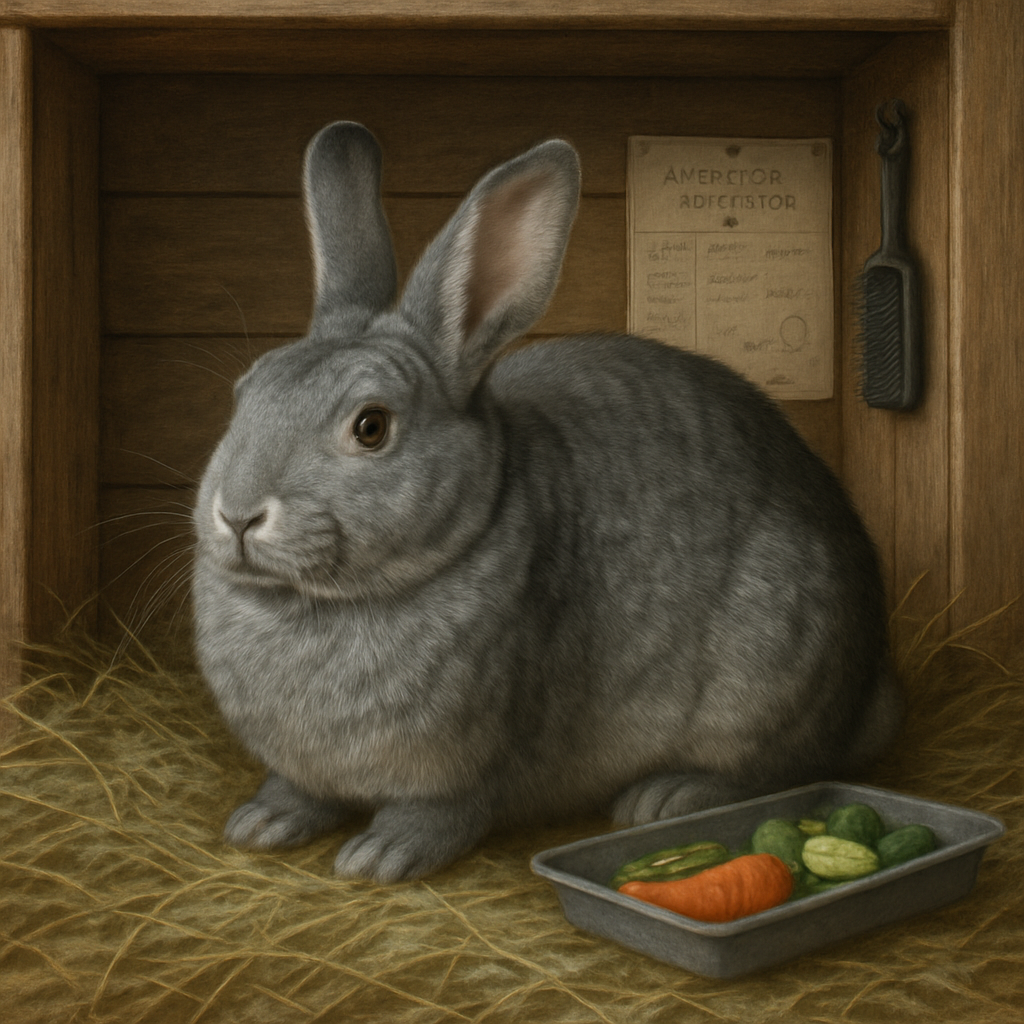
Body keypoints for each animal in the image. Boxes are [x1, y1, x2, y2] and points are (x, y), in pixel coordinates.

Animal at [192, 121, 900, 883]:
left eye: (371, 426)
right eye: (245, 392)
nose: (237, 514)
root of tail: (870, 689)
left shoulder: (465, 761)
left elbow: (441, 811)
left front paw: (379, 857)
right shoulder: (308, 767)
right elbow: (299, 790)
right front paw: (260, 822)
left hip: (771, 665)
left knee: (778, 768)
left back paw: (667, 796)